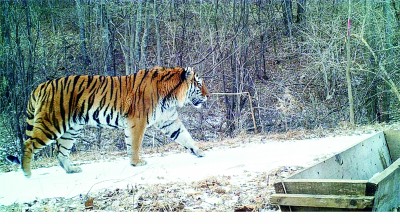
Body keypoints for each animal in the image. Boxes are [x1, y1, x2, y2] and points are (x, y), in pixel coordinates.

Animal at [8, 65, 209, 178]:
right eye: (199, 84)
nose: (208, 95)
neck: (172, 96)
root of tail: (40, 86)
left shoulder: (168, 121)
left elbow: (185, 136)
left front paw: (199, 152)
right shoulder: (137, 121)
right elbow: (135, 144)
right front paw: (136, 163)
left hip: (71, 130)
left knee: (61, 152)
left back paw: (71, 170)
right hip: (51, 124)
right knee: (28, 144)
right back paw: (27, 172)